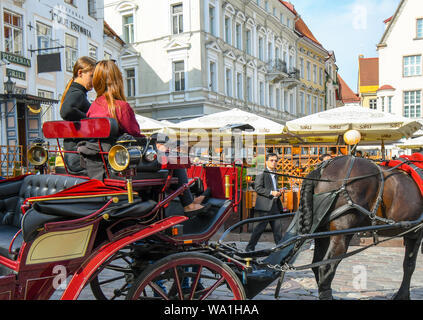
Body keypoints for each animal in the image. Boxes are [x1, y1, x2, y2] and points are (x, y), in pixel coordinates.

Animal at [302, 155, 423, 300]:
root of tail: (324, 168)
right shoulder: (416, 232)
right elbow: (410, 265)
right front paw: (403, 295)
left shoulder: (412, 233)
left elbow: (408, 264)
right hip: (342, 233)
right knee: (326, 267)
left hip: (323, 232)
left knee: (316, 265)